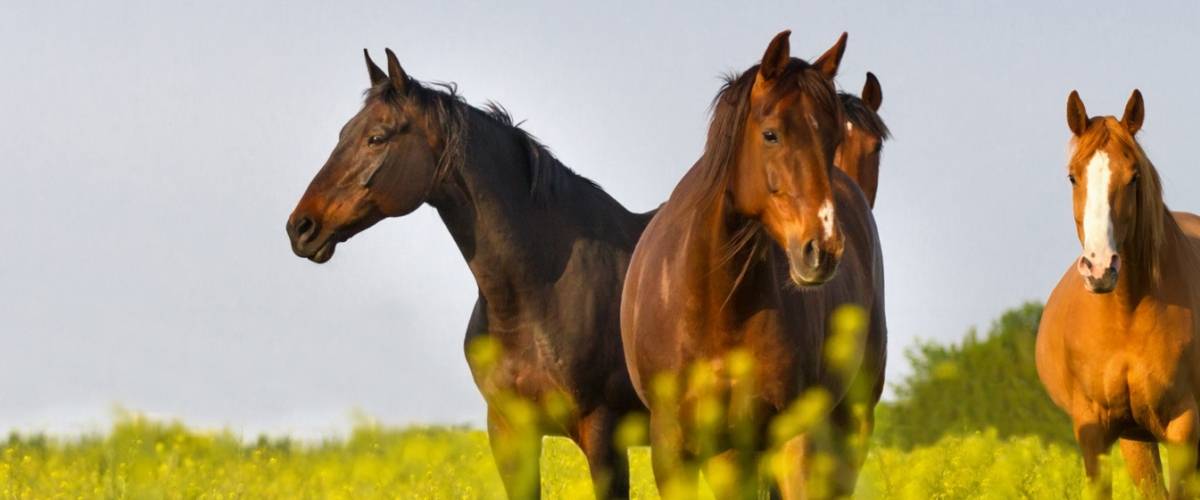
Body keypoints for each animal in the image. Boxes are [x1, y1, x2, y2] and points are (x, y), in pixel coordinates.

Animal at [284, 48, 652, 496]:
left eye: (376, 137)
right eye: (343, 133)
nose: (301, 227)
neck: (539, 295)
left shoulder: (602, 433)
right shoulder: (509, 434)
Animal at [1036, 89, 1200, 498]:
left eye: (1134, 176)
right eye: (1073, 177)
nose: (1100, 267)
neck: (1126, 312)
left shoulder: (1183, 426)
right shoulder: (1095, 431)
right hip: (1136, 438)